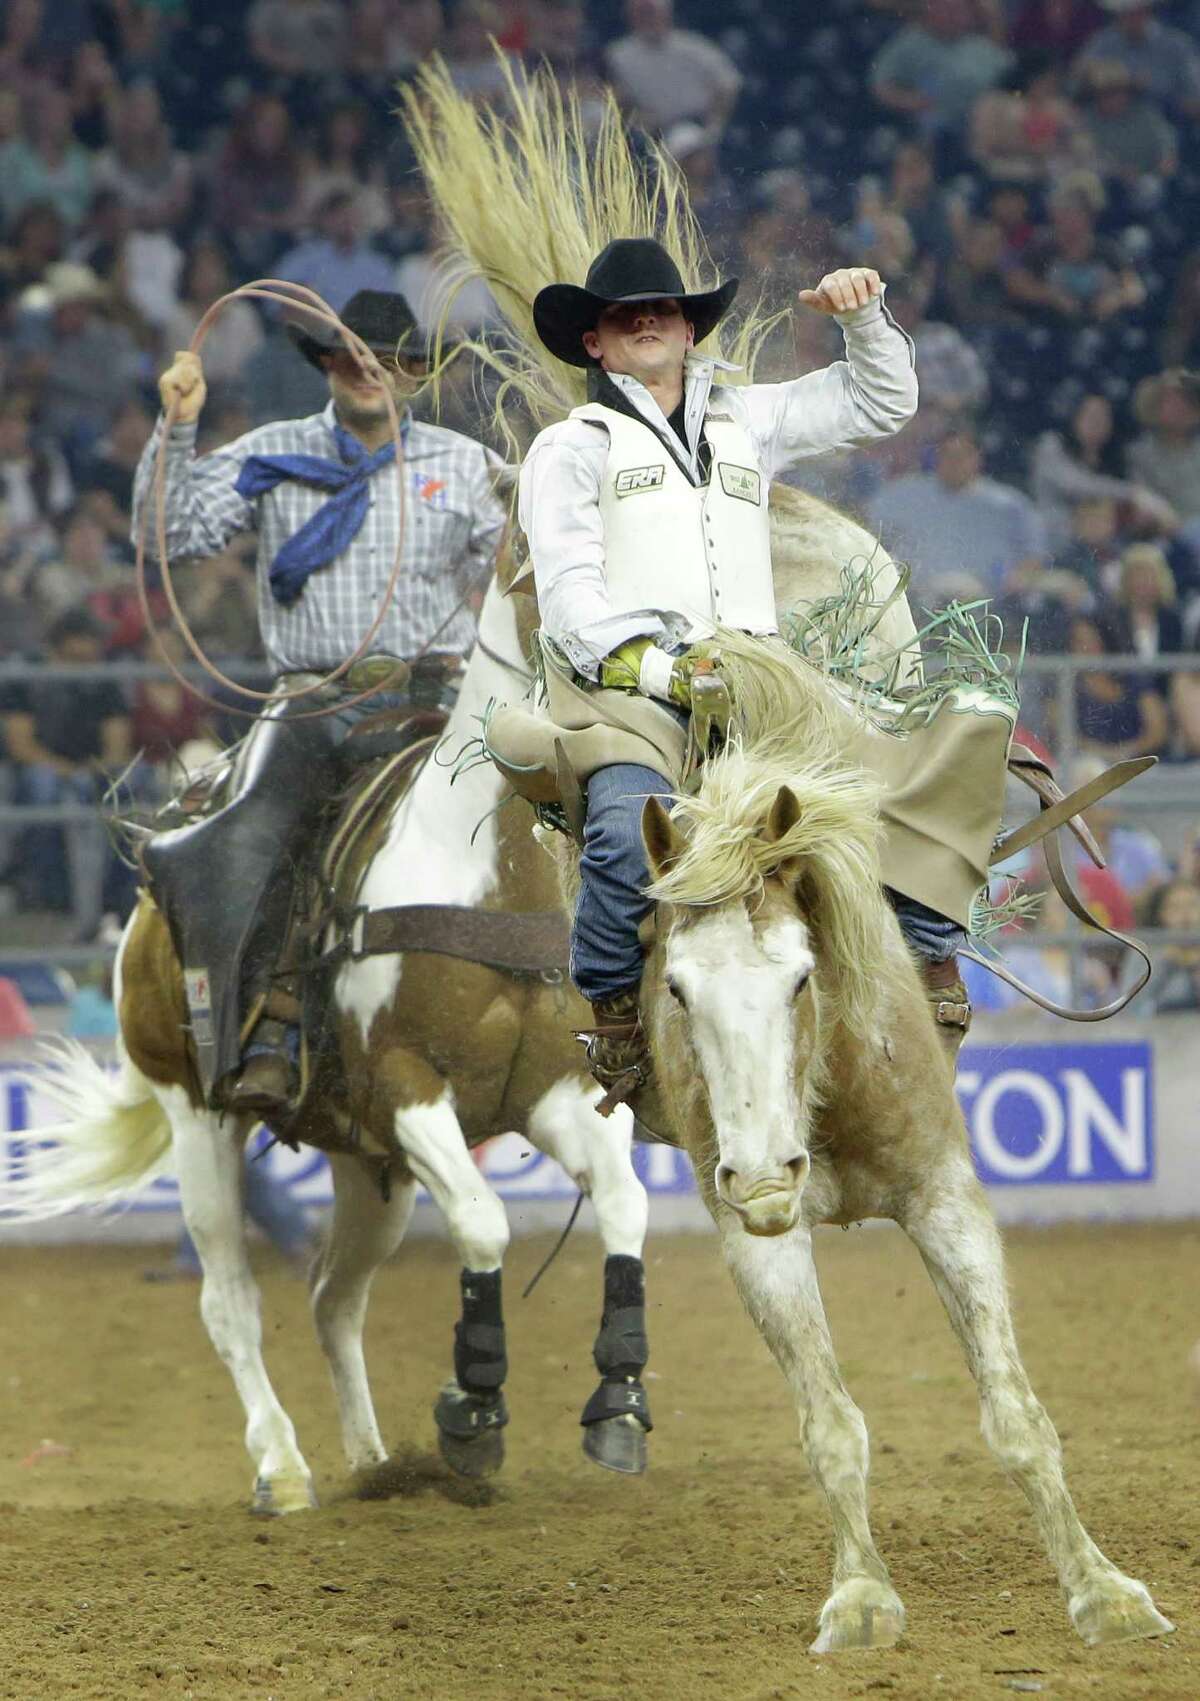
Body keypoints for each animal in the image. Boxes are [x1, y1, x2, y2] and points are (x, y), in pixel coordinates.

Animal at [625, 629, 1173, 1652]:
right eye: (675, 988)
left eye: (802, 976)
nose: (766, 1179)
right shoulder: (752, 1232)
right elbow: (830, 1423)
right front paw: (861, 1594)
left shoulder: (944, 1196)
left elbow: (1017, 1413)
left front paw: (1104, 1587)